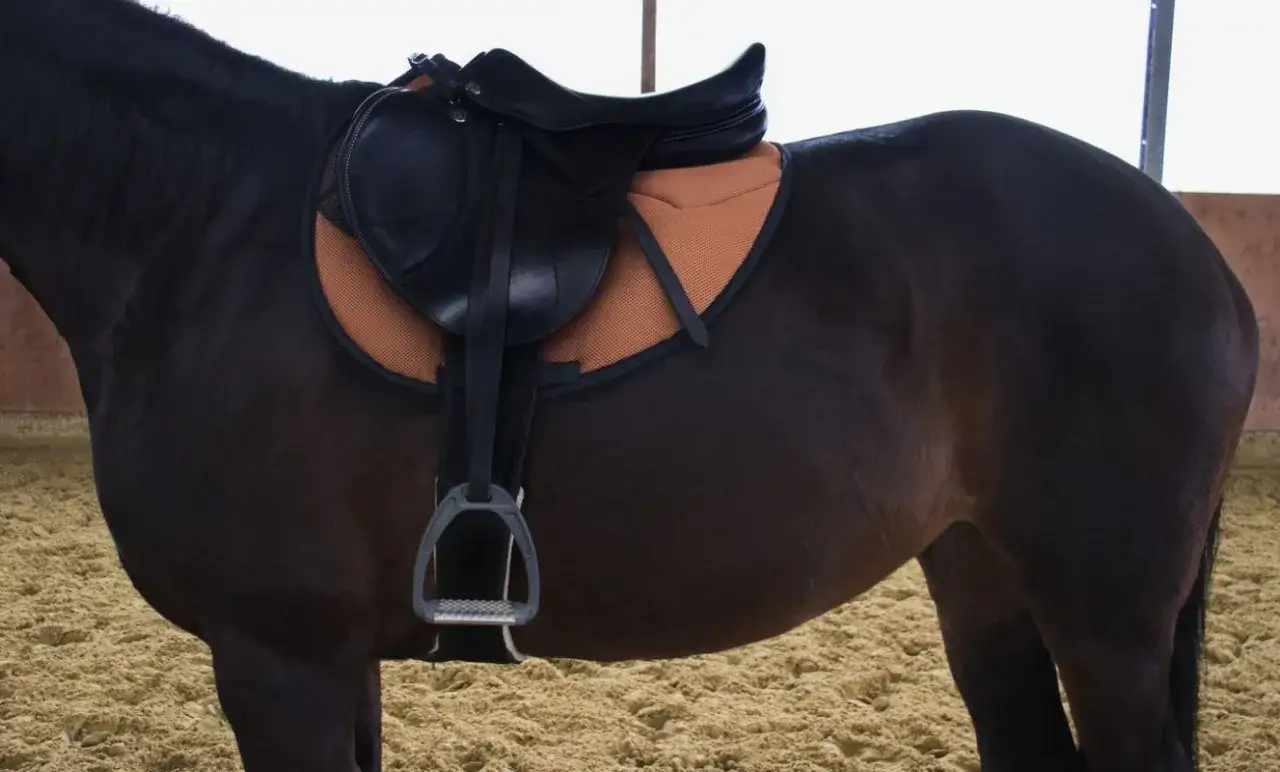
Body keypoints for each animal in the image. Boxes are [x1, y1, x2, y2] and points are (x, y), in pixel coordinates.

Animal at [0, 1, 1261, 771]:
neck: (205, 225)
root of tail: (1192, 250)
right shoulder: (328, 657)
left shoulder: (280, 653)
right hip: (984, 579)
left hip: (1106, 616)